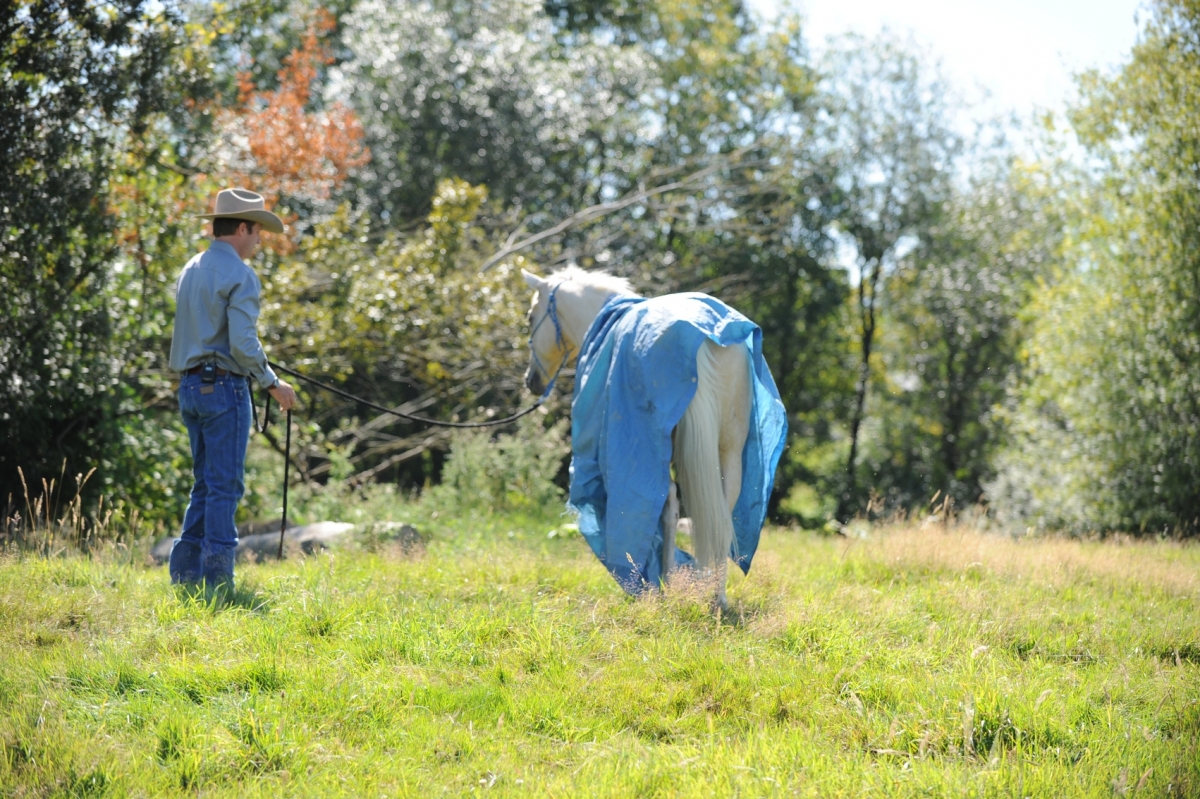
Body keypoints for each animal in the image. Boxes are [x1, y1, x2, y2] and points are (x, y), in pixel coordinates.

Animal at [522, 266, 786, 611]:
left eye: (530, 317)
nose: (531, 381)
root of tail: (704, 335)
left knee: (670, 498)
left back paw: (669, 584)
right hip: (729, 447)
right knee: (721, 512)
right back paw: (716, 595)